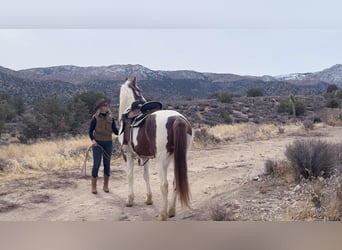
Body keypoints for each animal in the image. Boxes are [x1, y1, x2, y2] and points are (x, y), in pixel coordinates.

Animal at [117, 76, 192, 221]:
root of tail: (177, 119)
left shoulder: (129, 155)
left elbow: (130, 175)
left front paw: (130, 200)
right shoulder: (145, 156)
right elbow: (146, 176)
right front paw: (149, 199)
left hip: (161, 161)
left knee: (164, 185)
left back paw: (163, 214)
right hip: (179, 157)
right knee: (175, 182)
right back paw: (171, 210)